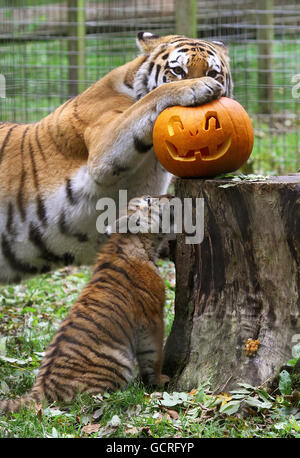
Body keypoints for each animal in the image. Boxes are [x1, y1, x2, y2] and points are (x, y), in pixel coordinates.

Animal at [0, 31, 232, 282]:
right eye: (178, 71)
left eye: (214, 72)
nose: (208, 82)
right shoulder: (103, 148)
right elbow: (149, 100)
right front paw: (196, 87)